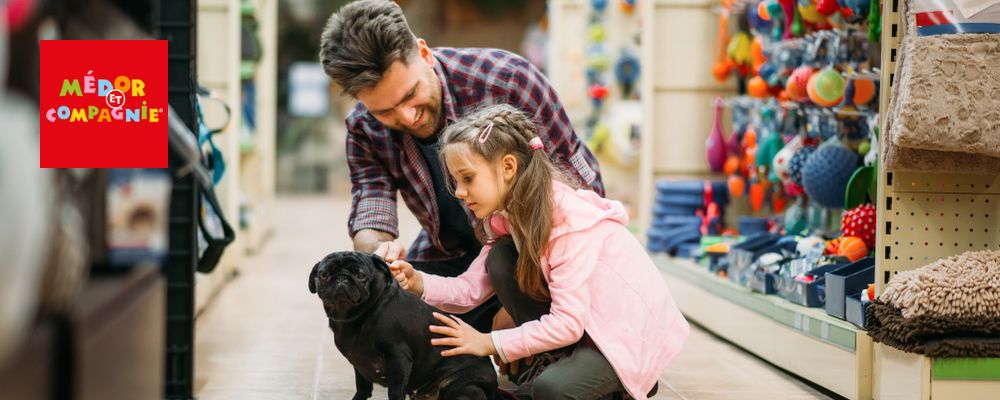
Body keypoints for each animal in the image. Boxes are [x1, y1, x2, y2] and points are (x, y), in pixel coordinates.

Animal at [308, 252, 500, 400]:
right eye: (324, 274)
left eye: (360, 275)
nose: (341, 278)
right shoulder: (359, 365)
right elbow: (362, 388)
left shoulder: (398, 357)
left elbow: (395, 390)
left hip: (463, 387)